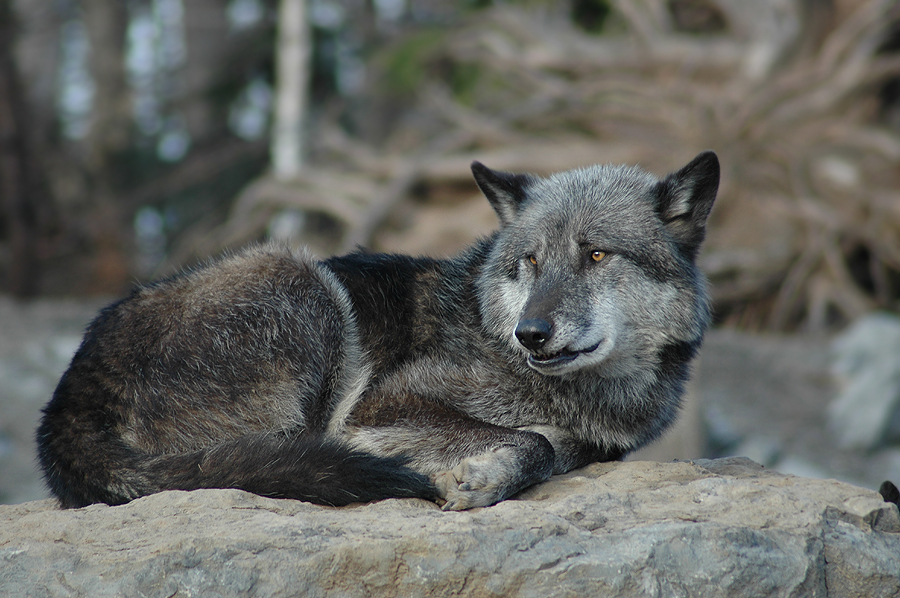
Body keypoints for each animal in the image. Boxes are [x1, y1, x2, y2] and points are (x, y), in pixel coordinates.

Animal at [35, 150, 720, 510]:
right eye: (529, 261)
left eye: (597, 255)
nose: (531, 333)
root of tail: (68, 395)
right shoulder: (381, 406)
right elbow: (534, 442)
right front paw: (482, 476)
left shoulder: (593, 445)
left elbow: (550, 447)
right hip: (302, 281)